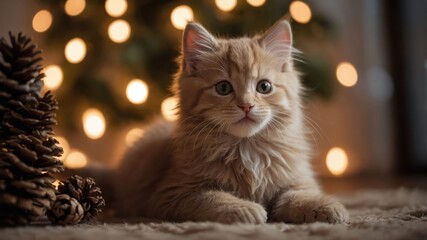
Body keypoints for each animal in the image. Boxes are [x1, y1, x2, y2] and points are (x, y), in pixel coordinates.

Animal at [115, 19, 350, 224]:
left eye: (264, 87)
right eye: (223, 88)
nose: (246, 105)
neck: (247, 151)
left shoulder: (297, 179)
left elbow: (300, 195)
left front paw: (325, 207)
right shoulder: (170, 193)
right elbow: (211, 197)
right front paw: (245, 208)